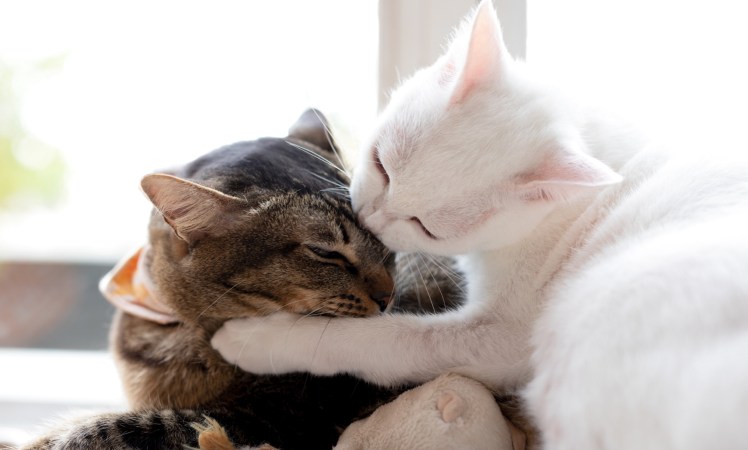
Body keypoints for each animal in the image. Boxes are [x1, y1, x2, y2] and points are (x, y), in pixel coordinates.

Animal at [213, 1, 748, 448]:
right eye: (381, 164)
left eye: (426, 226)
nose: (370, 216)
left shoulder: (502, 339)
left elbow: (384, 339)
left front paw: (256, 338)